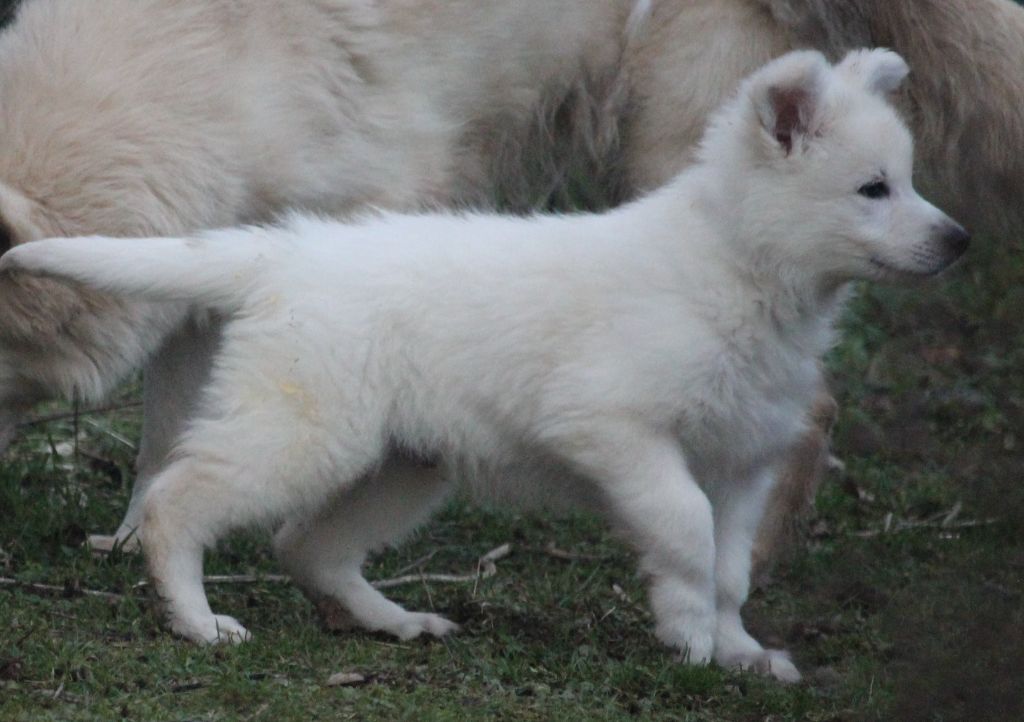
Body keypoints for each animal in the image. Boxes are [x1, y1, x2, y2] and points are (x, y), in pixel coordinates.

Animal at [2, 47, 966, 680]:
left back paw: (393, 621)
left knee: (306, 545)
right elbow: (685, 527)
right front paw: (688, 638)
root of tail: (284, 253)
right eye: (874, 188)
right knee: (179, 502)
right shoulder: (618, 430)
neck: (736, 267)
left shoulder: (742, 462)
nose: (958, 241)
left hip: (404, 461)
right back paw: (197, 621)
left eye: (911, 180)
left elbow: (728, 564)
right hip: (305, 432)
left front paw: (736, 650)